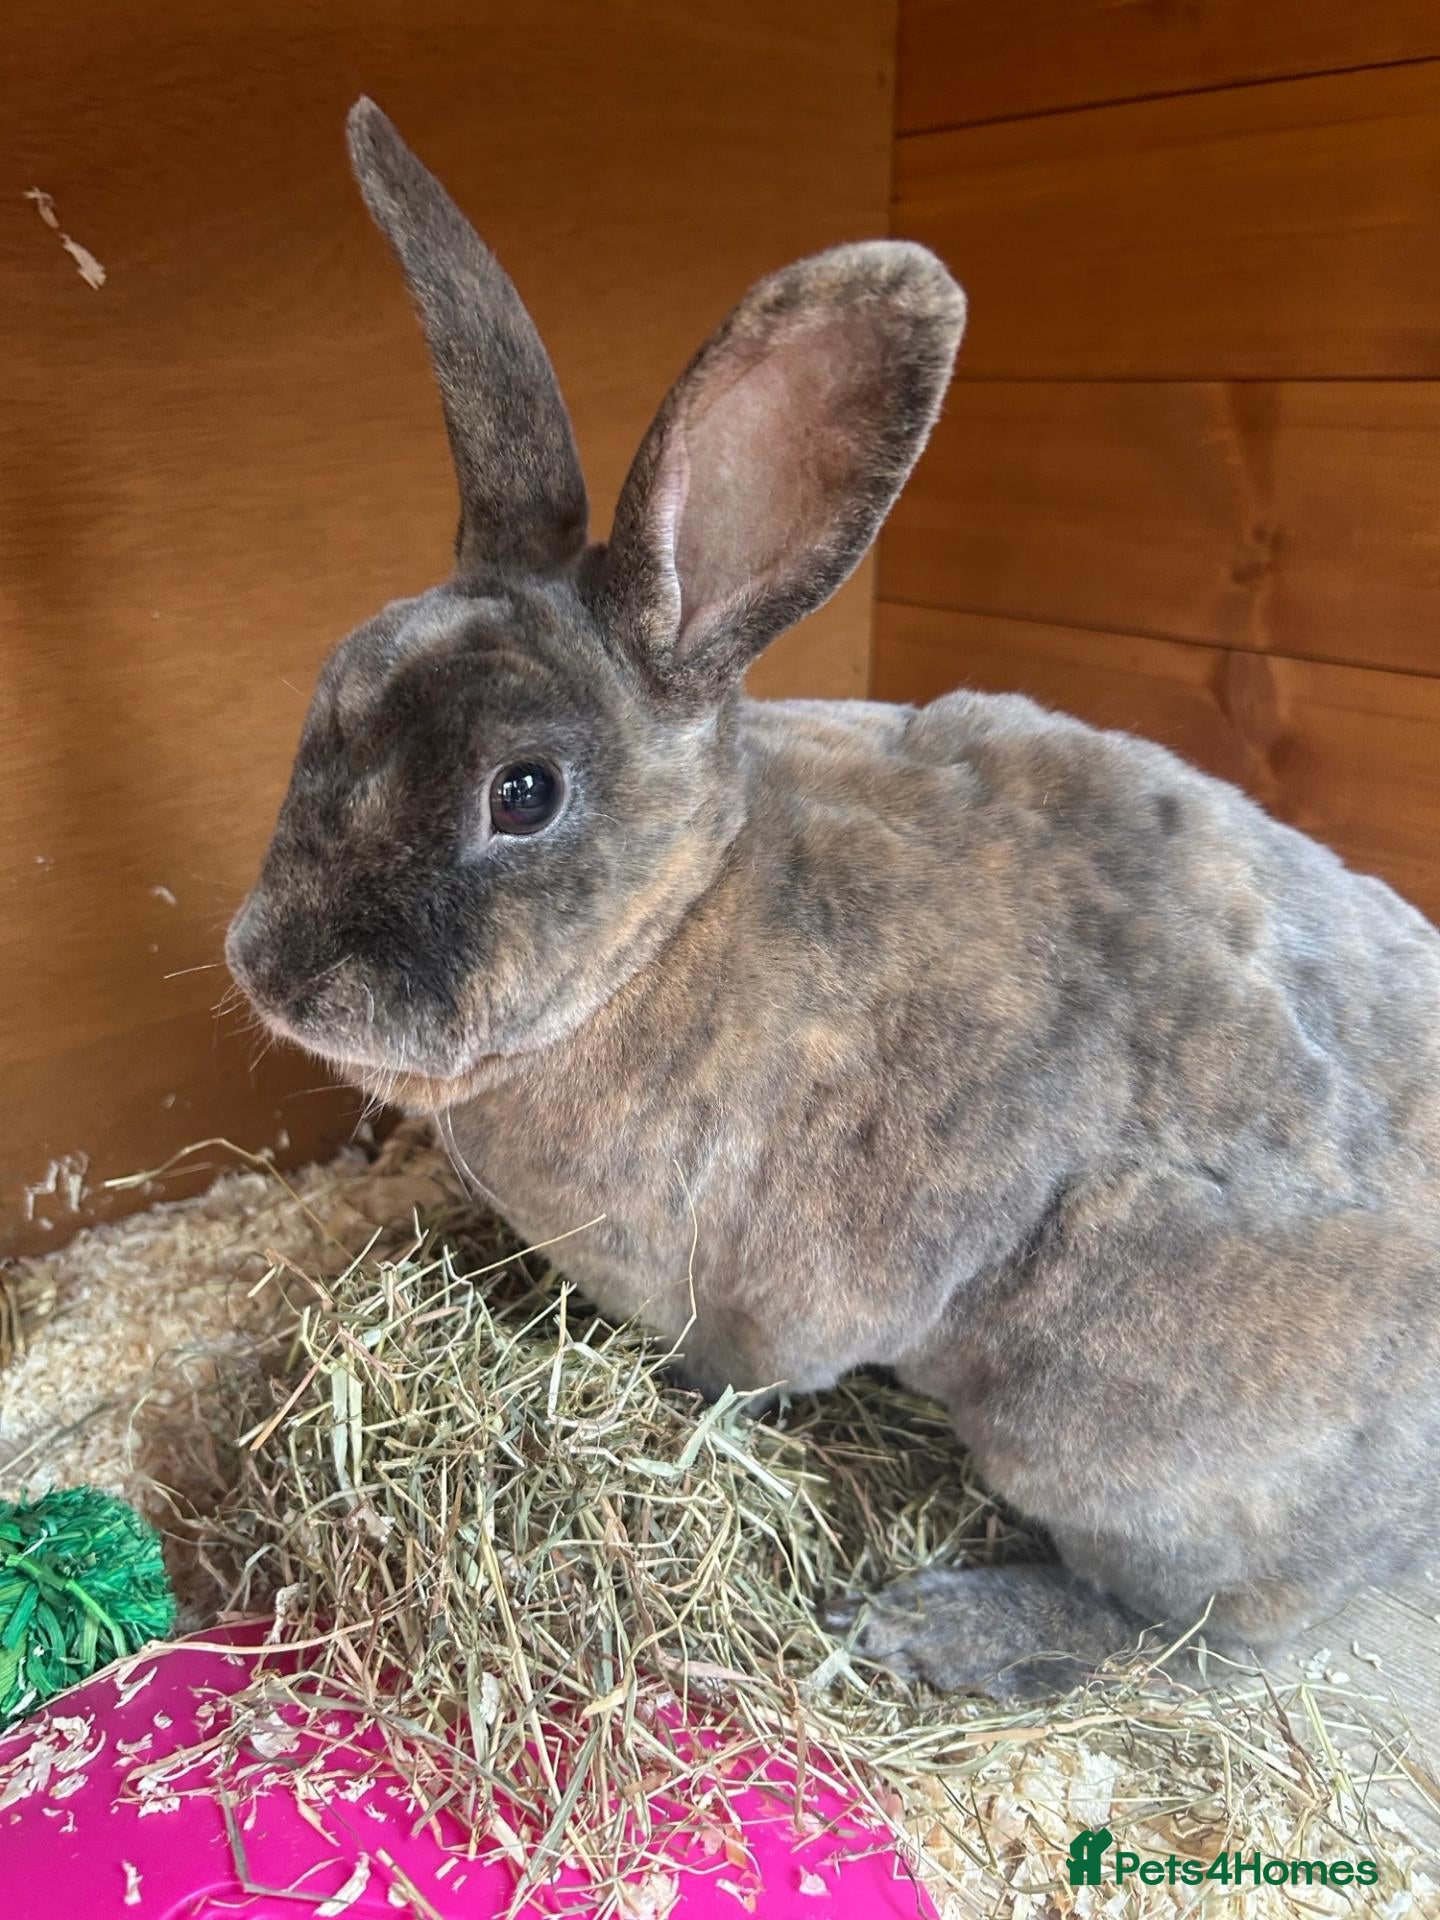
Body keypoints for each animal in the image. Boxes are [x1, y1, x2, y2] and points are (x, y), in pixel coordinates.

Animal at [227, 98, 1440, 1700]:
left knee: (1181, 1635)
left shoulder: (783, 1294)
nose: (273, 968)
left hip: (1117, 1436)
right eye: (332, 690)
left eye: (523, 793)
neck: (671, 931)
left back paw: (944, 1625)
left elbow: (745, 1373)